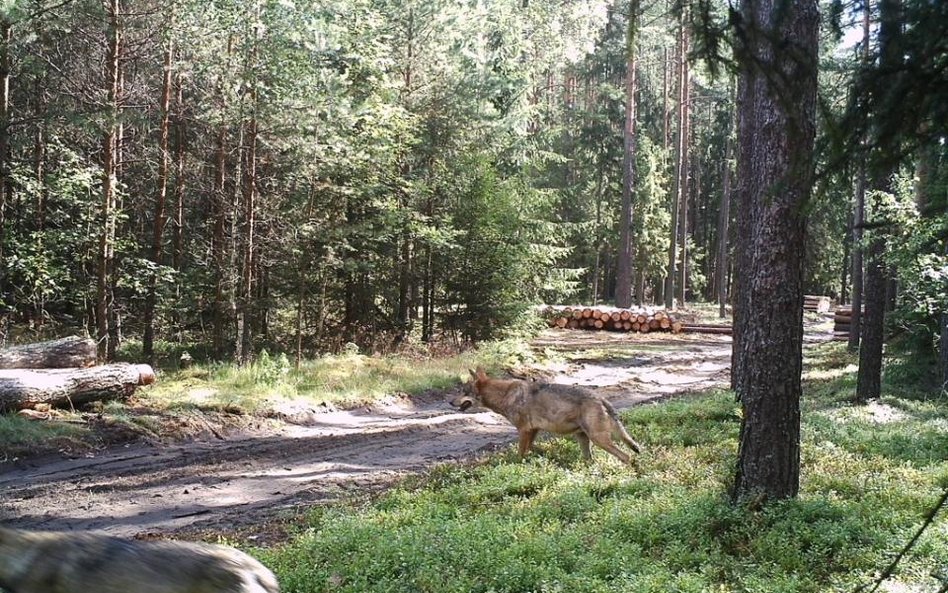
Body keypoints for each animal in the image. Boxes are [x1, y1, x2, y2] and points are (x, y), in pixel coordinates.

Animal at [452, 366, 644, 462]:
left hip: (599, 439)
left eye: (463, 391)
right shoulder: (533, 430)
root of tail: (601, 398)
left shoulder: (524, 430)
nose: (450, 402)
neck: (505, 395)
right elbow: (533, 448)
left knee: (627, 456)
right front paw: (548, 455)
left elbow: (520, 454)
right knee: (591, 461)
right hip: (584, 439)